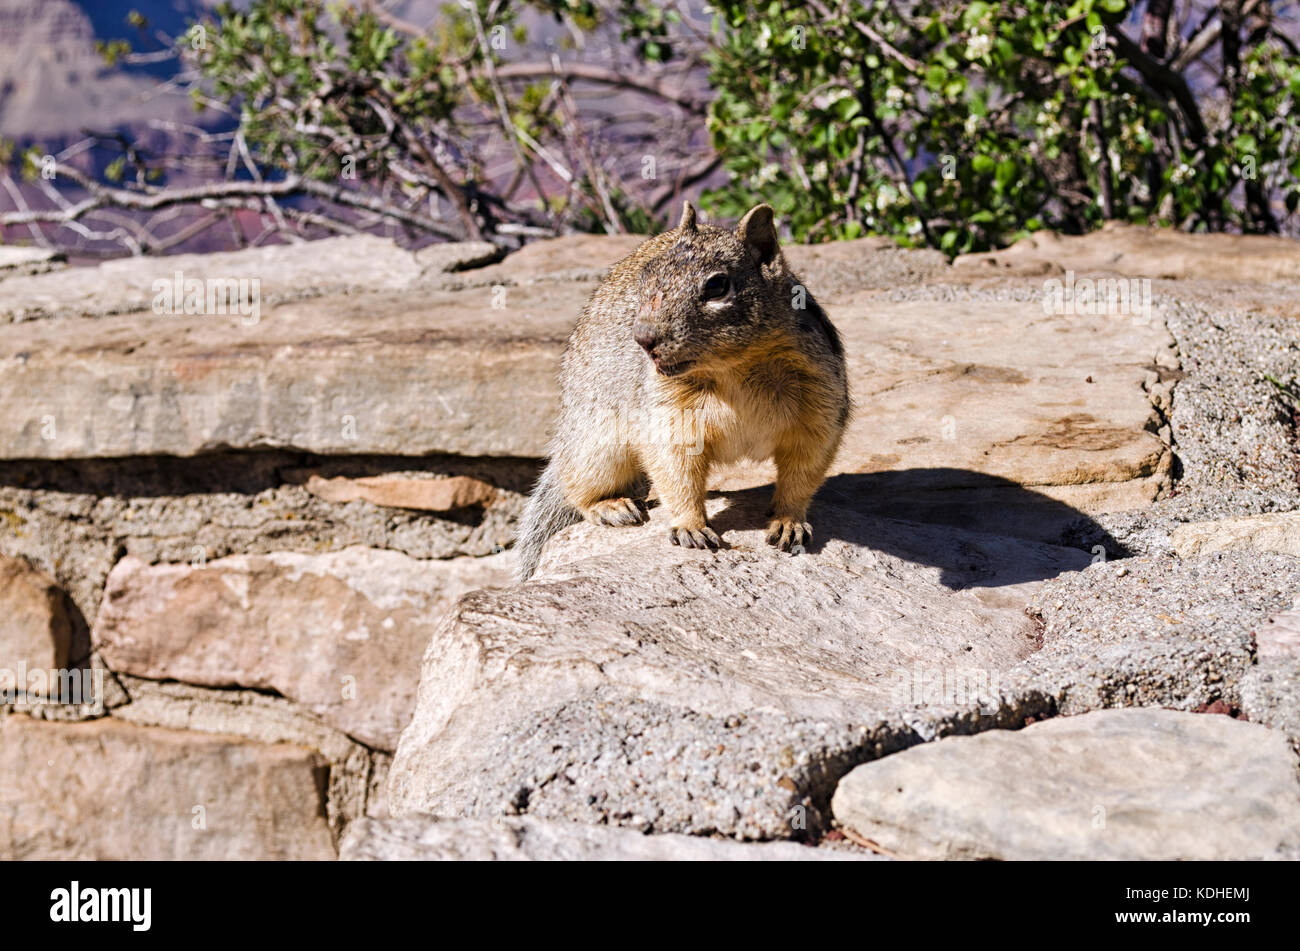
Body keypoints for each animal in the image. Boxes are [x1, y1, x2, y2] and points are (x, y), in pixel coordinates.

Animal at [514, 201, 849, 581]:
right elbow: (676, 470)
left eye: (718, 286)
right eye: (645, 277)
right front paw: (690, 526)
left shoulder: (819, 408)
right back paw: (611, 506)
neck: (734, 369)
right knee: (577, 485)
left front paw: (789, 521)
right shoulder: (669, 415)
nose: (643, 338)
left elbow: (802, 472)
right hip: (597, 443)